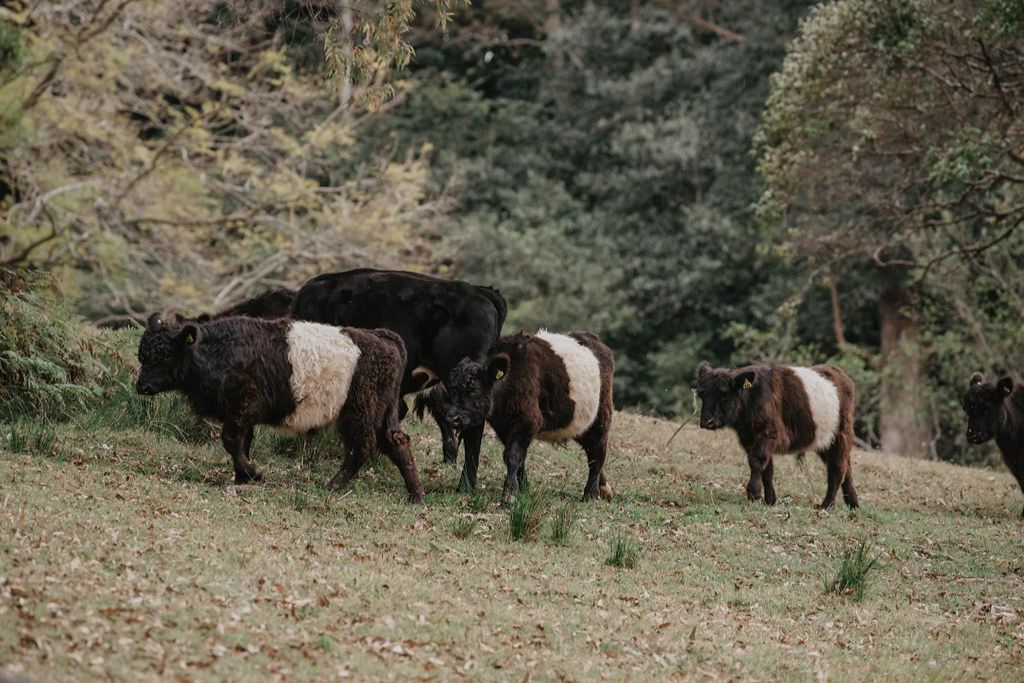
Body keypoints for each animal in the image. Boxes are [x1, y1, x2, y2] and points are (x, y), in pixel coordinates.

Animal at [136, 313, 423, 501]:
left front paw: (253, 473)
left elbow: (231, 441)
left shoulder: (240, 408)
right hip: (382, 414)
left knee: (361, 447)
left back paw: (333, 486)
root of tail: (381, 337)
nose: (142, 386)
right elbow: (242, 443)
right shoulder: (243, 414)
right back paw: (416, 496)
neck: (220, 351)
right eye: (142, 355)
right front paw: (242, 478)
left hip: (360, 412)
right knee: (397, 444)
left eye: (164, 355)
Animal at [442, 331, 614, 507]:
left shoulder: (527, 420)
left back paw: (590, 494)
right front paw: (524, 489)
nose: (452, 417)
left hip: (599, 420)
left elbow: (512, 455)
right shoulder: (504, 426)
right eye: (452, 389)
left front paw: (510, 494)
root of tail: (592, 338)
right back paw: (602, 488)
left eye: (475, 390)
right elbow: (519, 458)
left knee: (597, 454)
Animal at [692, 360, 860, 509]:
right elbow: (767, 469)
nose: (707, 422)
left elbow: (757, 459)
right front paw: (770, 500)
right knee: (846, 467)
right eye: (702, 394)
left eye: (724, 395)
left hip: (840, 435)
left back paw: (827, 505)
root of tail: (840, 373)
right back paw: (853, 503)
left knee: (837, 468)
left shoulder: (774, 434)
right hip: (826, 441)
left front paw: (754, 493)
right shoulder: (749, 438)